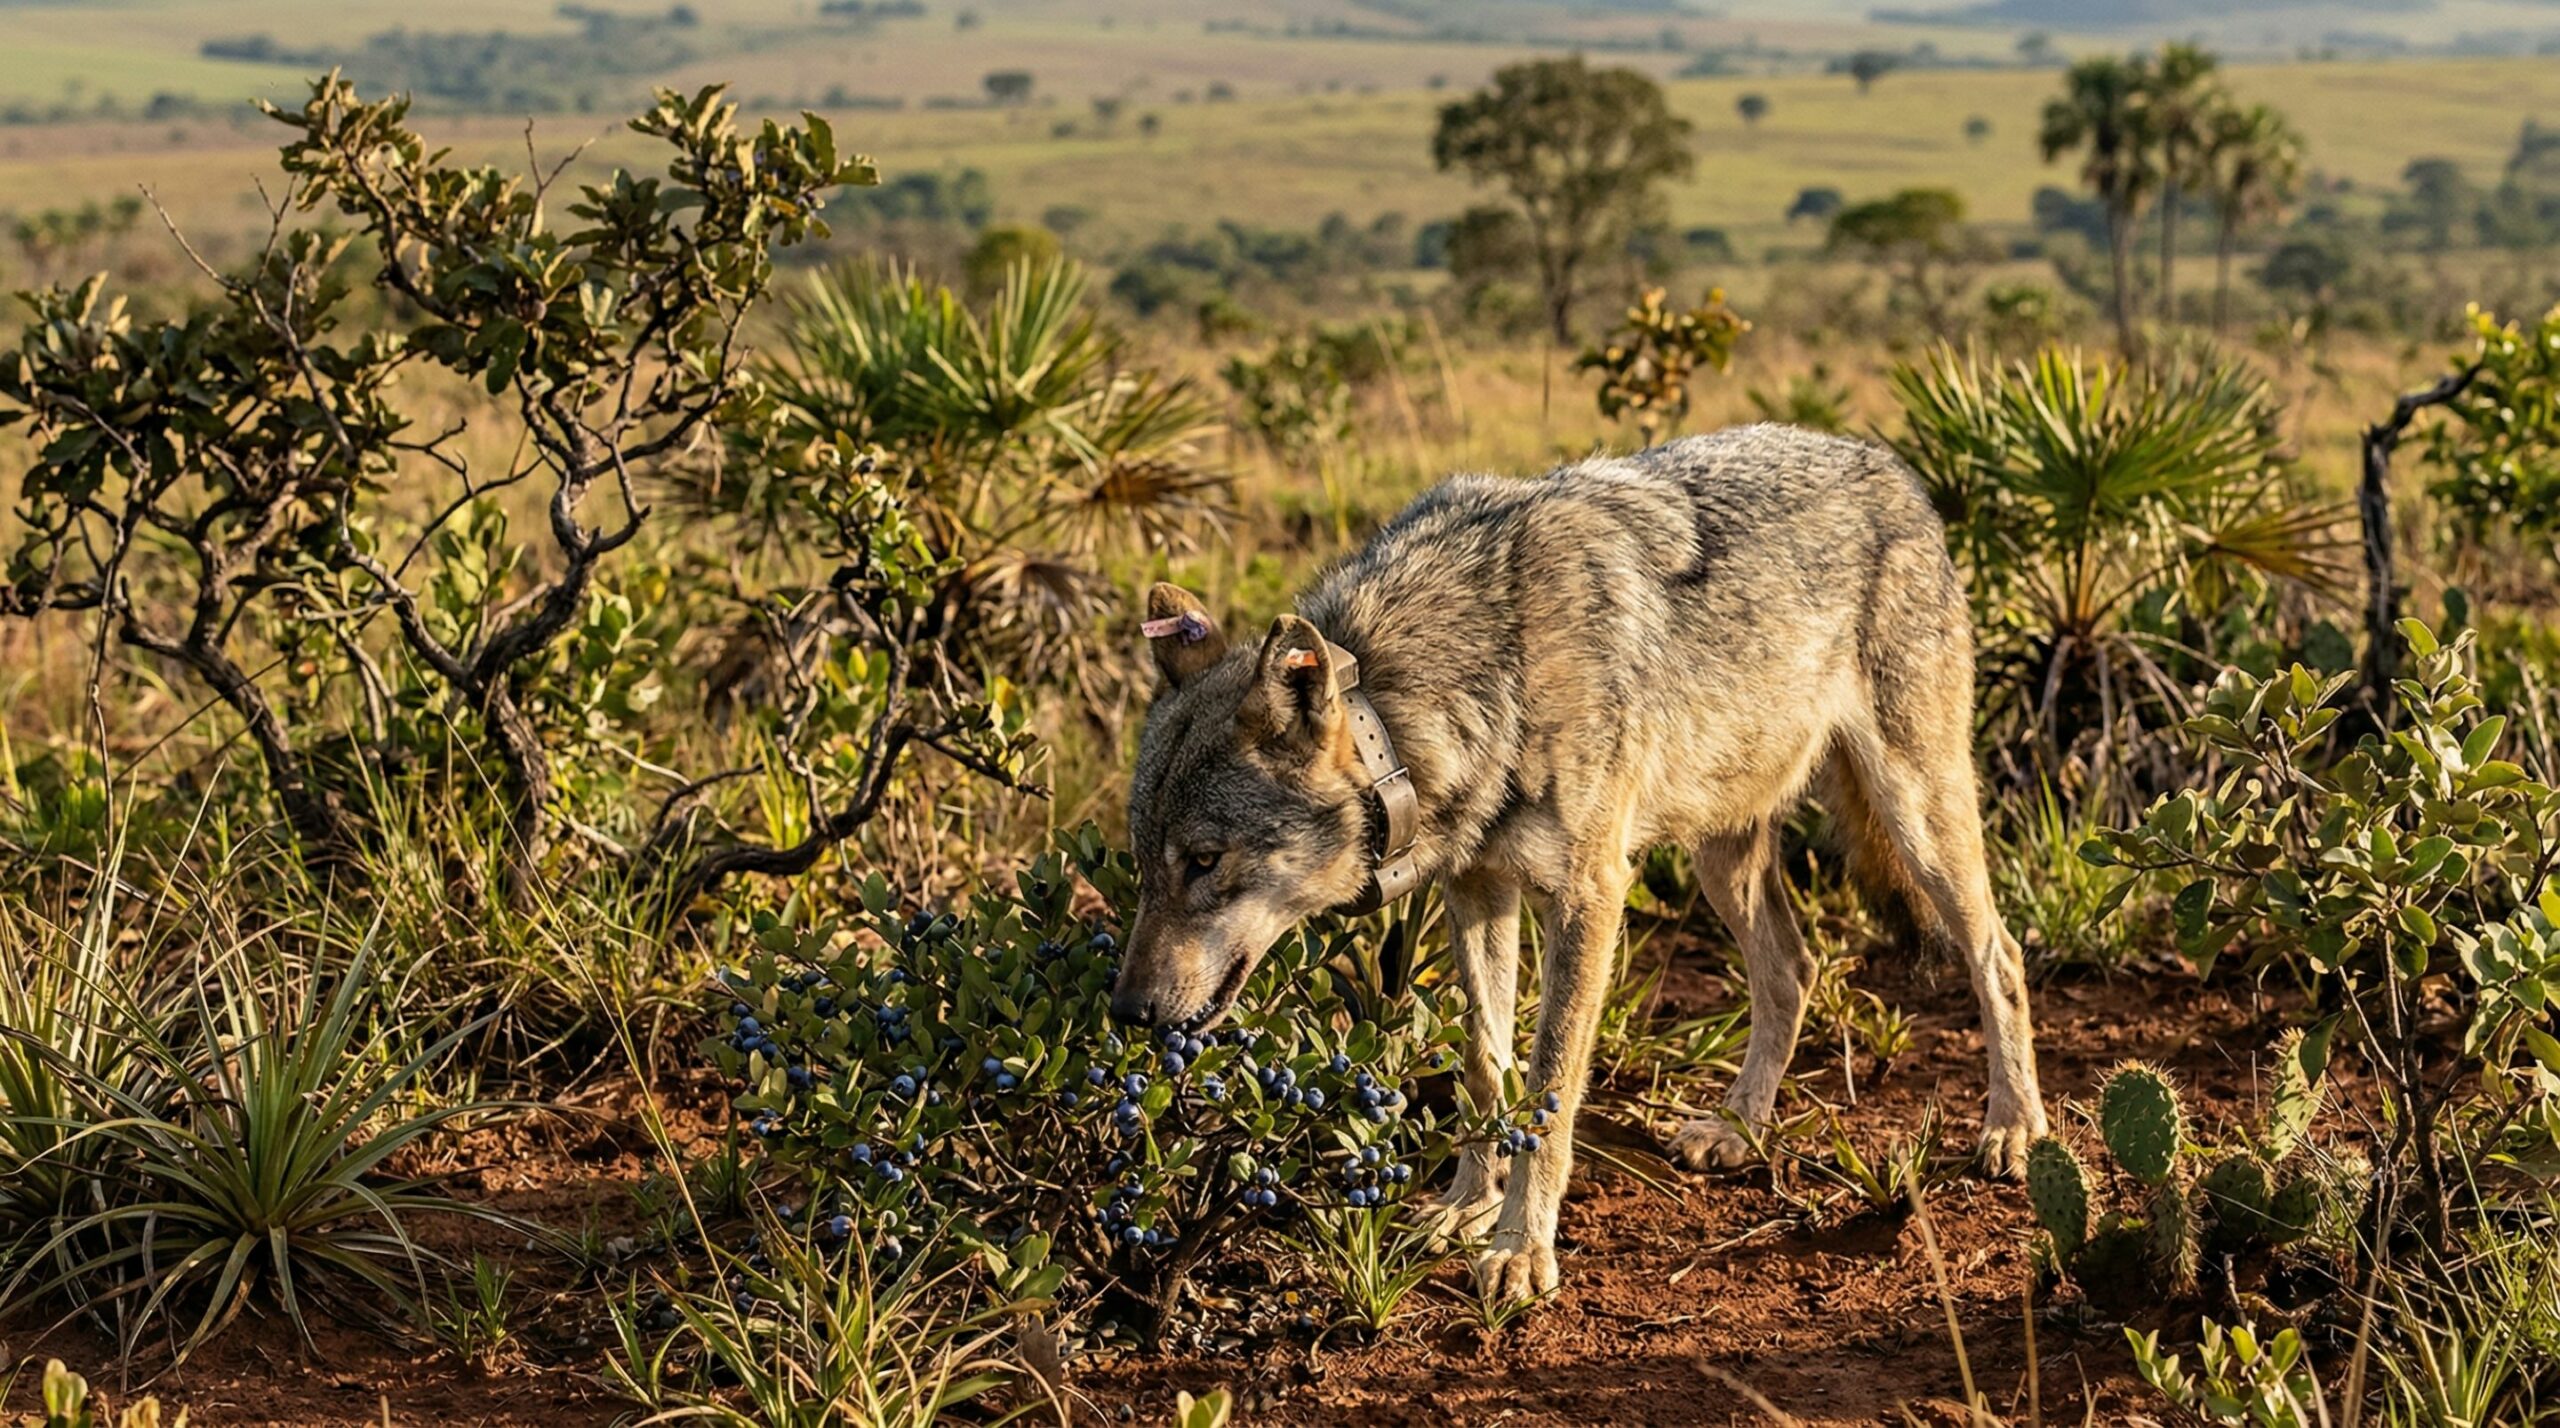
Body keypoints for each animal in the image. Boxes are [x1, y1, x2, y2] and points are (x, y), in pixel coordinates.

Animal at [1113, 424, 2047, 1299]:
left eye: (1204, 861)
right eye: (1145, 865)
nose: (1126, 1012)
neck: (1461, 677)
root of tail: (1888, 465)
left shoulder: (1591, 896)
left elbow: (1549, 1088)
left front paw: (1522, 1251)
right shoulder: (1477, 888)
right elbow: (1485, 1070)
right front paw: (1465, 1209)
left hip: (1917, 814)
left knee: (1998, 952)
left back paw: (2013, 1129)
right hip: (1721, 857)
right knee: (1793, 968)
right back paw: (1737, 1129)